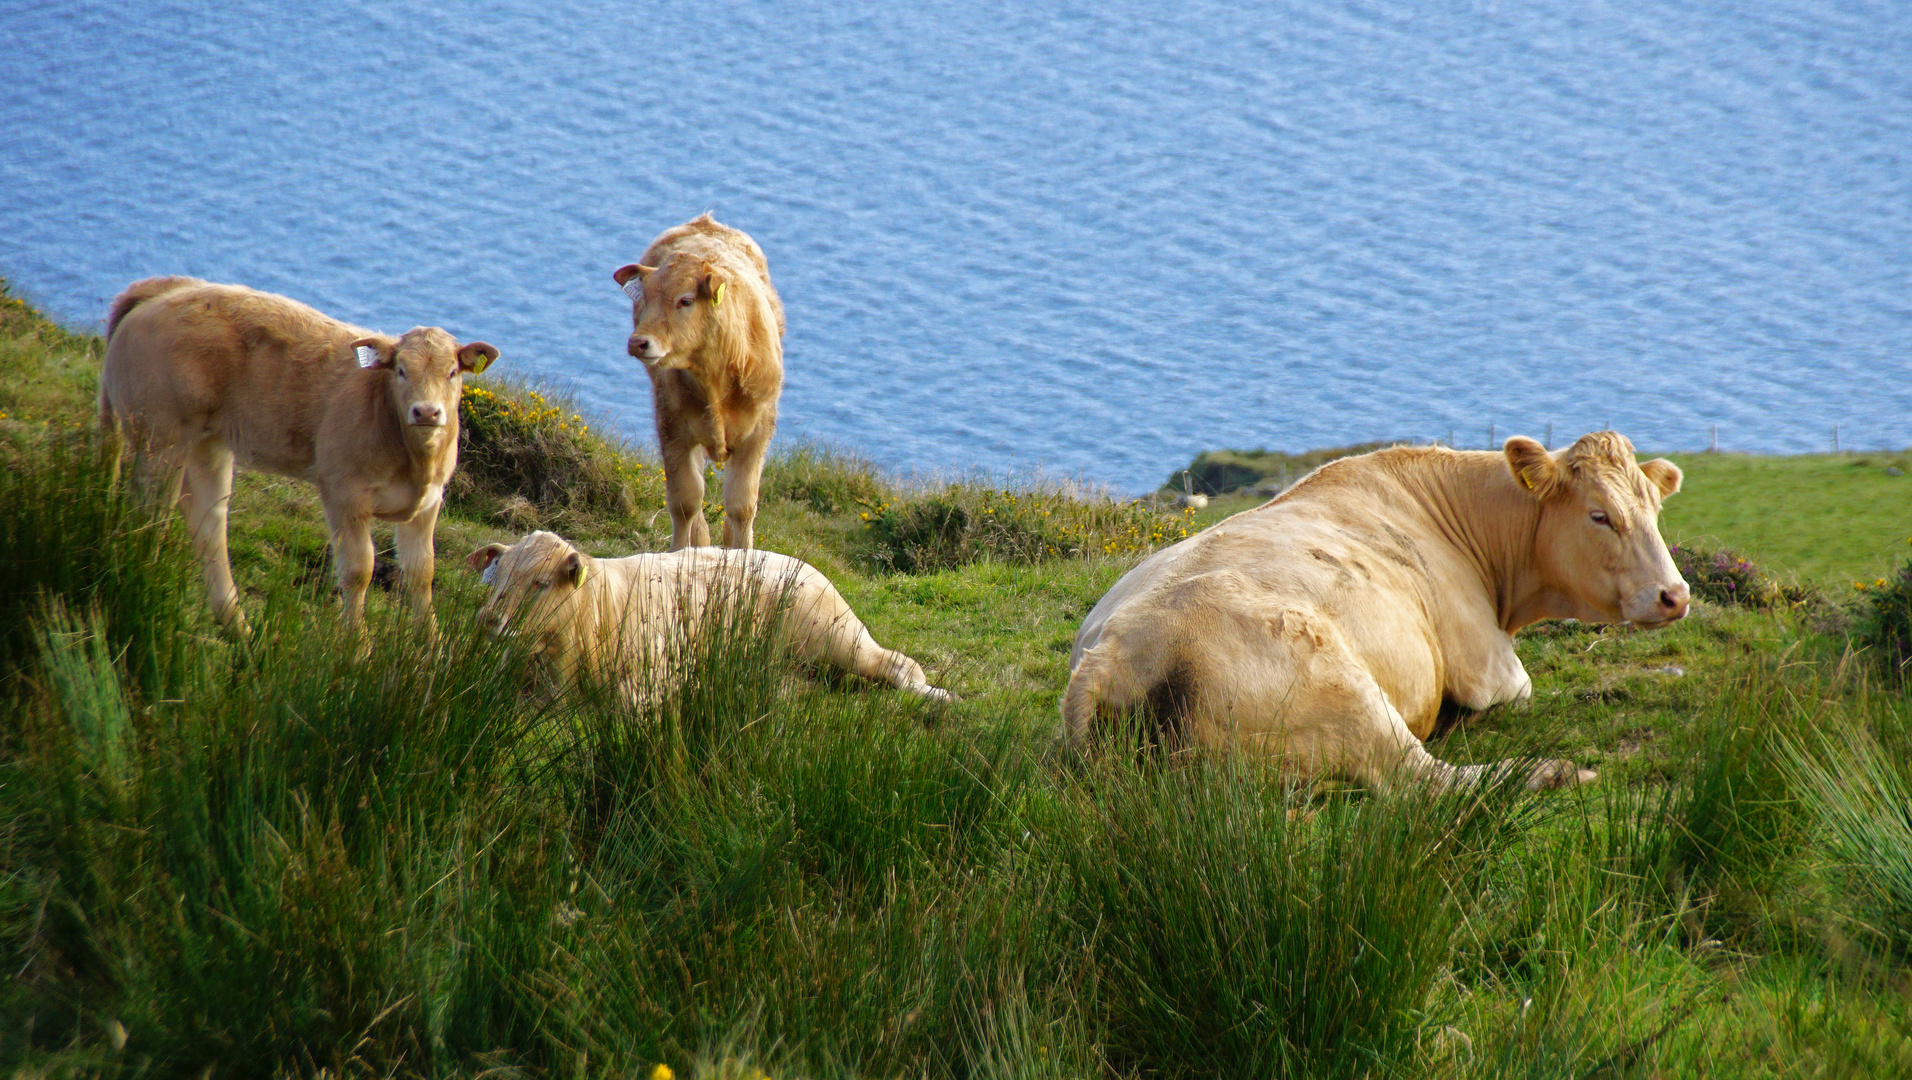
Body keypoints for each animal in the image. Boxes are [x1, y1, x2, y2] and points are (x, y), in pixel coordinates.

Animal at [100, 273, 497, 634]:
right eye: (401, 371)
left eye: (452, 372)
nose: (426, 412)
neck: (415, 462)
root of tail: (166, 289)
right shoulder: (344, 495)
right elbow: (358, 571)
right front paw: (356, 648)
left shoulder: (428, 503)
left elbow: (421, 573)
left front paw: (431, 648)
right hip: (160, 436)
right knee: (151, 514)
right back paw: (145, 588)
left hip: (207, 442)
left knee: (207, 522)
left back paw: (238, 628)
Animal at [466, 527, 952, 699]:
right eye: (495, 577)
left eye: (540, 583)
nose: (489, 620)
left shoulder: (659, 666)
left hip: (836, 636)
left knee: (899, 664)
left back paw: (935, 696)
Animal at [615, 219, 787, 554]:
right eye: (645, 298)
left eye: (685, 300)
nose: (638, 342)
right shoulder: (671, 426)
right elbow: (685, 500)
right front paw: (679, 555)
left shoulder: (759, 429)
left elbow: (742, 504)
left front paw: (743, 556)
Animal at [1063, 432, 1690, 791]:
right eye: (1599, 515)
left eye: (1655, 508)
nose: (1675, 595)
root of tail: (1110, 655)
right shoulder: (1489, 666)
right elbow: (1519, 692)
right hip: (1342, 688)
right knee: (1424, 781)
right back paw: (1552, 773)